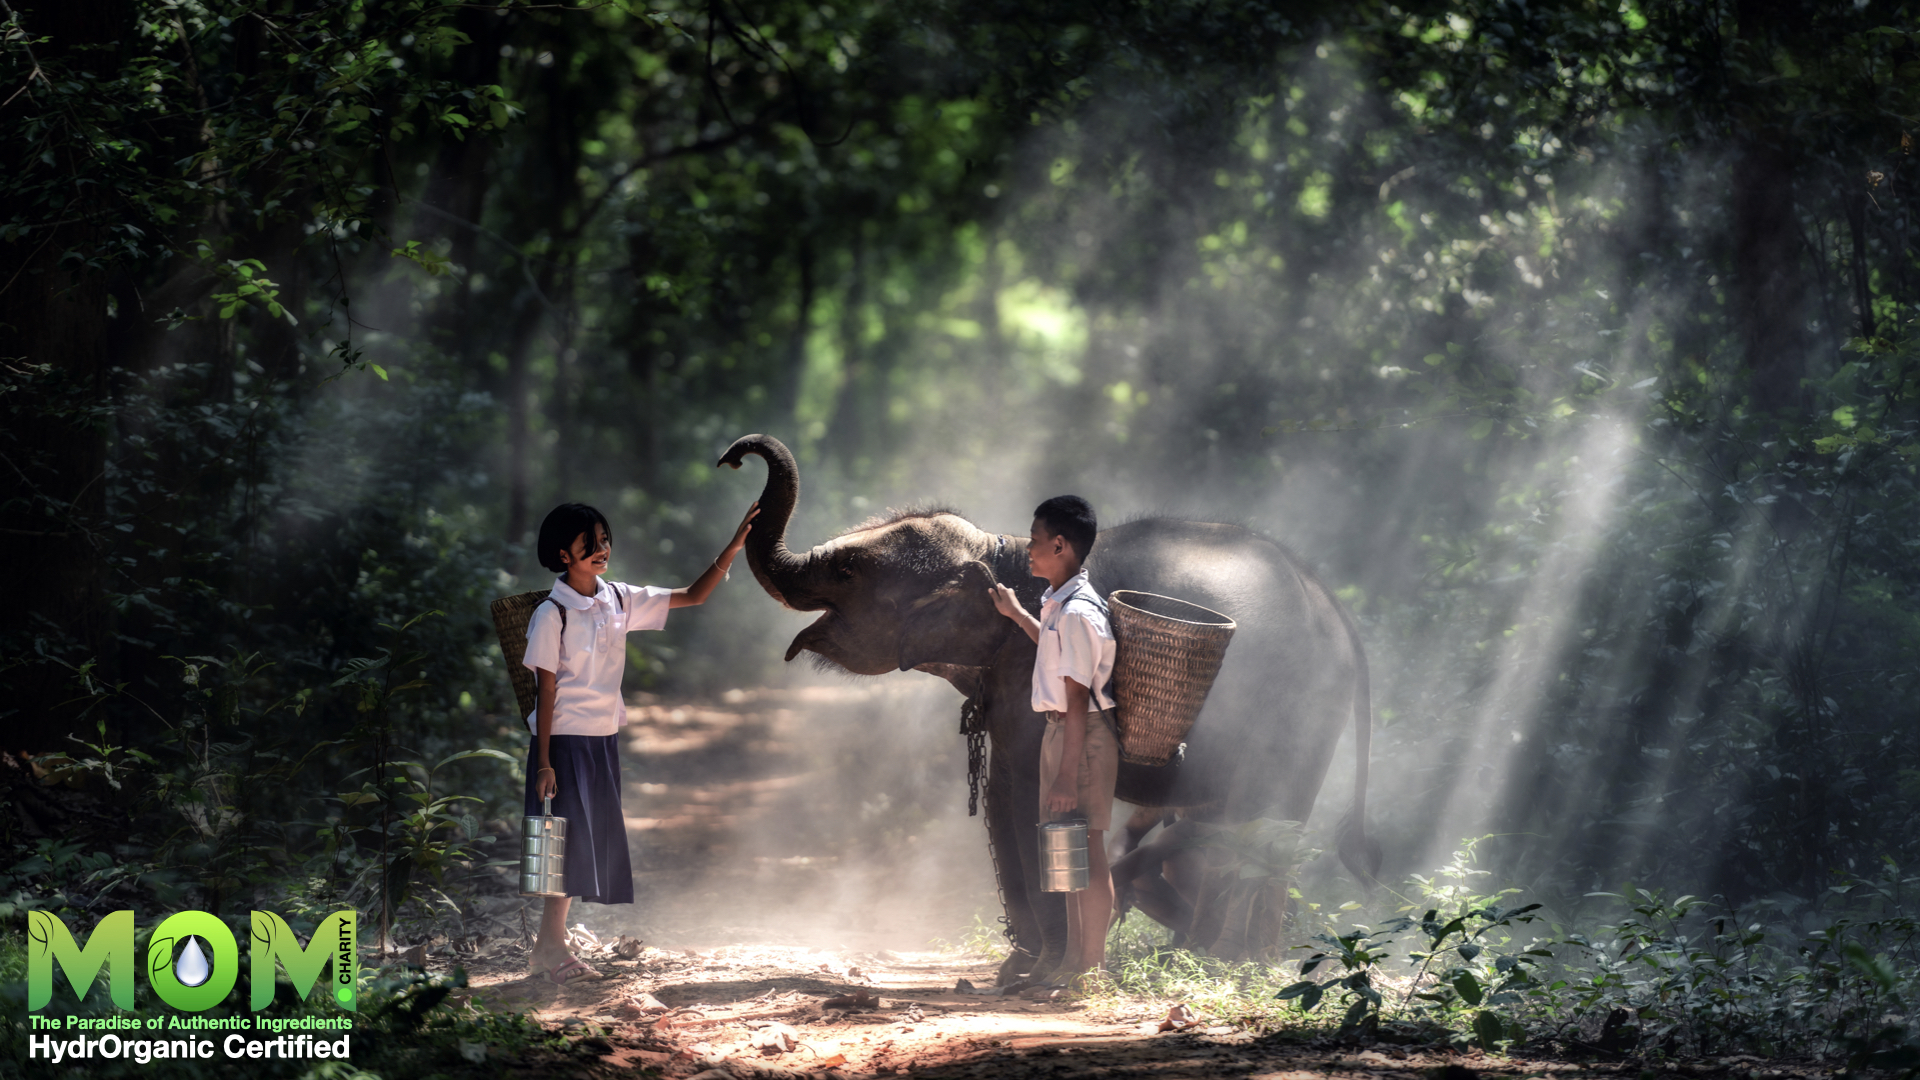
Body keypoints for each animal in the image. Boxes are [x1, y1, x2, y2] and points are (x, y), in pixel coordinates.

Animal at [717, 433, 1380, 978]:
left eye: (850, 571)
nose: (732, 458)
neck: (1001, 547)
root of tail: (1336, 608)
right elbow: (1002, 793)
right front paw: (1018, 968)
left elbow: (1028, 797)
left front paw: (1041, 969)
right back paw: (1220, 956)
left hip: (1300, 705)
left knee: (1262, 823)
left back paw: (1229, 962)